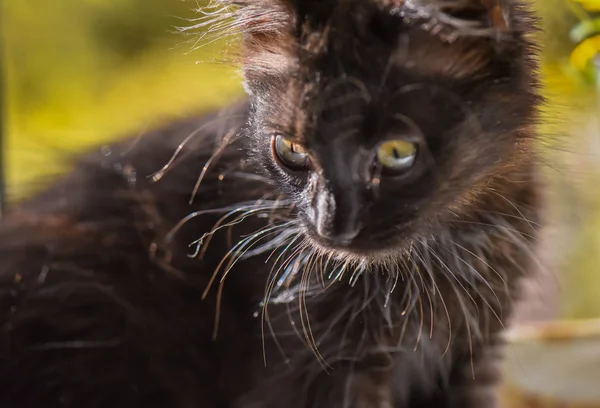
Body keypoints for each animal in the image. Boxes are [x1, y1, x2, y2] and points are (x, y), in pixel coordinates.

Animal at [0, 0, 544, 408]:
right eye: (292, 151)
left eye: (396, 152)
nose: (331, 225)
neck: (443, 253)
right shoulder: (313, 368)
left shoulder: (472, 357)